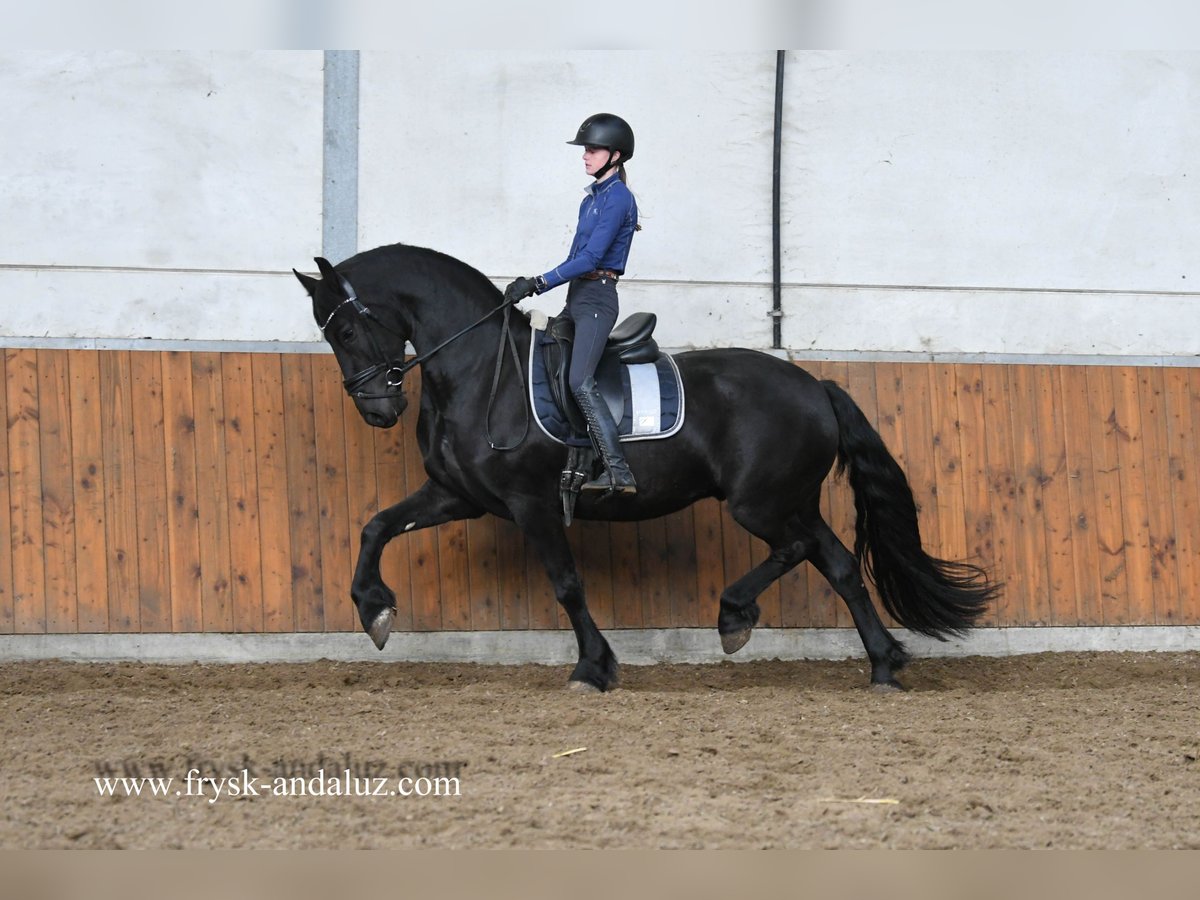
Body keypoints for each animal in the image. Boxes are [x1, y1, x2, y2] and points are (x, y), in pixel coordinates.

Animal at [295, 243, 998, 696]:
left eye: (347, 331)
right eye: (330, 336)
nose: (378, 410)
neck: (479, 372)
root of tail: (813, 385)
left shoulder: (531, 504)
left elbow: (566, 584)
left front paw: (593, 668)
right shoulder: (455, 495)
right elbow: (376, 526)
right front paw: (374, 610)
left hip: (760, 503)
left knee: (798, 550)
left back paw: (735, 616)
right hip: (790, 499)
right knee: (841, 565)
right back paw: (883, 666)